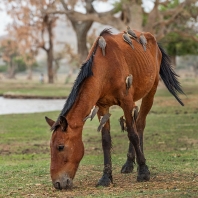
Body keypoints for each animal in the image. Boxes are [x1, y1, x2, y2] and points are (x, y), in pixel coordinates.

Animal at [44, 27, 184, 189]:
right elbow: (106, 141)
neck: (106, 66)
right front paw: (106, 177)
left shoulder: (127, 103)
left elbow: (133, 135)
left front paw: (143, 171)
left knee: (139, 125)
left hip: (150, 92)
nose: (57, 183)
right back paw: (129, 164)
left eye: (60, 147)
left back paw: (139, 163)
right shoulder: (102, 108)